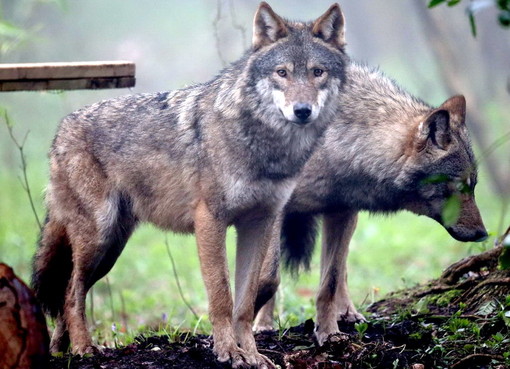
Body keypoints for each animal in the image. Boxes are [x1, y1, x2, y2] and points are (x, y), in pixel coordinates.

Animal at [31, 3, 348, 368]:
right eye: (282, 72)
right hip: (98, 238)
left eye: (317, 72)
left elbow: (246, 301)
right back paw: (84, 349)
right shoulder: (210, 220)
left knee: (67, 292)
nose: (302, 111)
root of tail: (61, 129)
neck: (264, 147)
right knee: (71, 292)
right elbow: (222, 296)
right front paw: (228, 352)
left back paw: (61, 351)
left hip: (110, 249)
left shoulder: (260, 224)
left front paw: (252, 355)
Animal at [253, 61, 488, 344]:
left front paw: (329, 333)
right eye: (459, 187)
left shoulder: (340, 211)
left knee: (341, 269)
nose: (483, 234)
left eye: (473, 187)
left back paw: (349, 313)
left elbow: (330, 282)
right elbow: (267, 278)